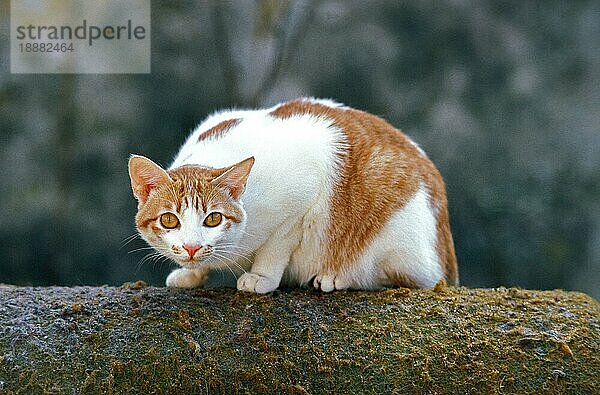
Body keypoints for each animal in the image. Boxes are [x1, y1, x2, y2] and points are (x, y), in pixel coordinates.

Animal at [129, 98, 458, 294]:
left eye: (213, 219)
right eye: (169, 220)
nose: (192, 247)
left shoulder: (300, 202)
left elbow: (275, 247)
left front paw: (261, 278)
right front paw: (191, 274)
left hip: (399, 246)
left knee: (405, 280)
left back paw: (337, 277)